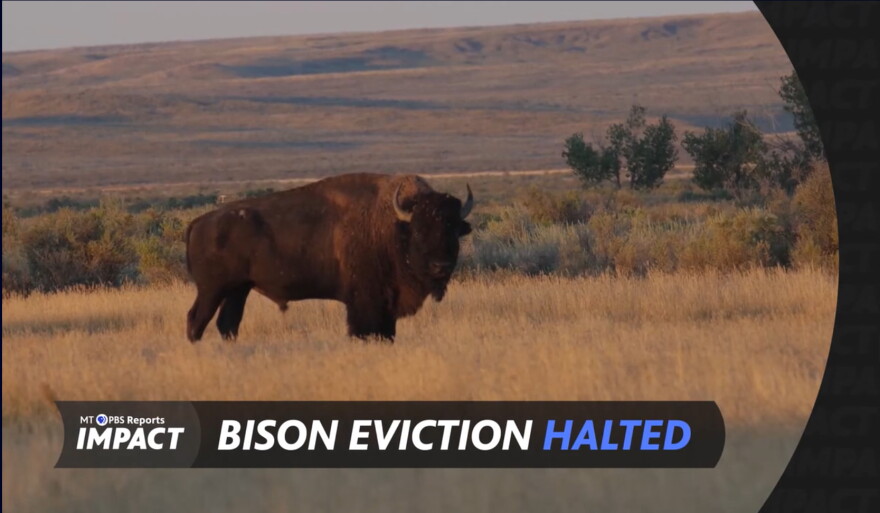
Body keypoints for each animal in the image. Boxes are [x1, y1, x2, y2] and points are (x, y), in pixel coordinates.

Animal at [184, 173, 474, 342]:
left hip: (238, 290)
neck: (394, 228)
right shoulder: (365, 302)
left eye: (452, 230)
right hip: (211, 290)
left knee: (227, 323)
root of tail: (199, 222)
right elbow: (365, 331)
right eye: (419, 230)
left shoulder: (387, 307)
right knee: (197, 319)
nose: (440, 267)